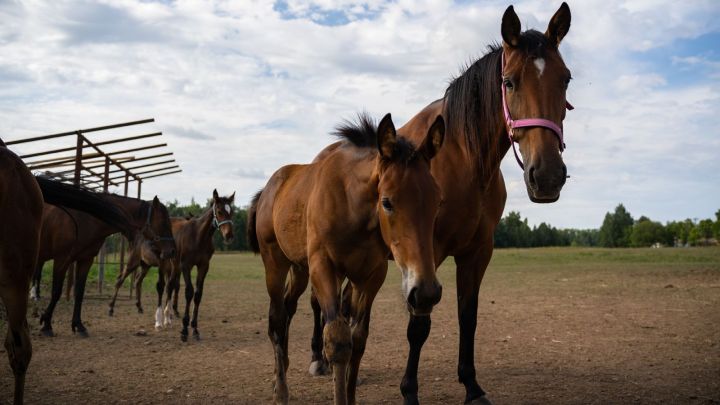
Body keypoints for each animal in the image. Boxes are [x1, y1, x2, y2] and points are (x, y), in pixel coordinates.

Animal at [0, 138, 131, 400]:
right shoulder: (65, 258)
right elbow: (61, 291)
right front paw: (48, 322)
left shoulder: (82, 259)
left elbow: (75, 291)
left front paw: (73, 324)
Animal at [249, 113, 444, 404]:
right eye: (387, 202)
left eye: (438, 202)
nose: (426, 293)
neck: (352, 204)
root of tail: (269, 188)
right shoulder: (324, 267)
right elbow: (338, 341)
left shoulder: (370, 276)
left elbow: (359, 339)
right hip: (275, 263)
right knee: (276, 319)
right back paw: (281, 390)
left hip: (300, 269)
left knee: (288, 307)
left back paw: (280, 371)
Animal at [308, 3, 572, 404]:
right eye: (509, 82)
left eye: (566, 79)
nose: (547, 176)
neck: (462, 158)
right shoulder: (425, 250)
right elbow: (419, 326)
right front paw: (409, 391)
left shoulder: (477, 252)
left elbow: (468, 317)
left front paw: (472, 387)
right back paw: (318, 360)